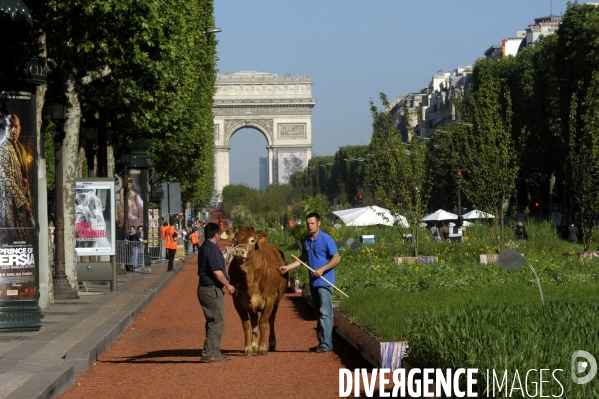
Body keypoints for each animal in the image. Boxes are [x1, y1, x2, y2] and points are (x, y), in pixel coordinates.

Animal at [227, 227, 288, 358]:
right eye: (235, 240)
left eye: (252, 240)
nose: (239, 252)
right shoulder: (237, 300)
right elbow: (246, 324)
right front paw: (248, 348)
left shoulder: (270, 298)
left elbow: (263, 322)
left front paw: (262, 348)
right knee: (254, 319)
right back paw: (254, 344)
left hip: (277, 300)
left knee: (271, 319)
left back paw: (272, 343)